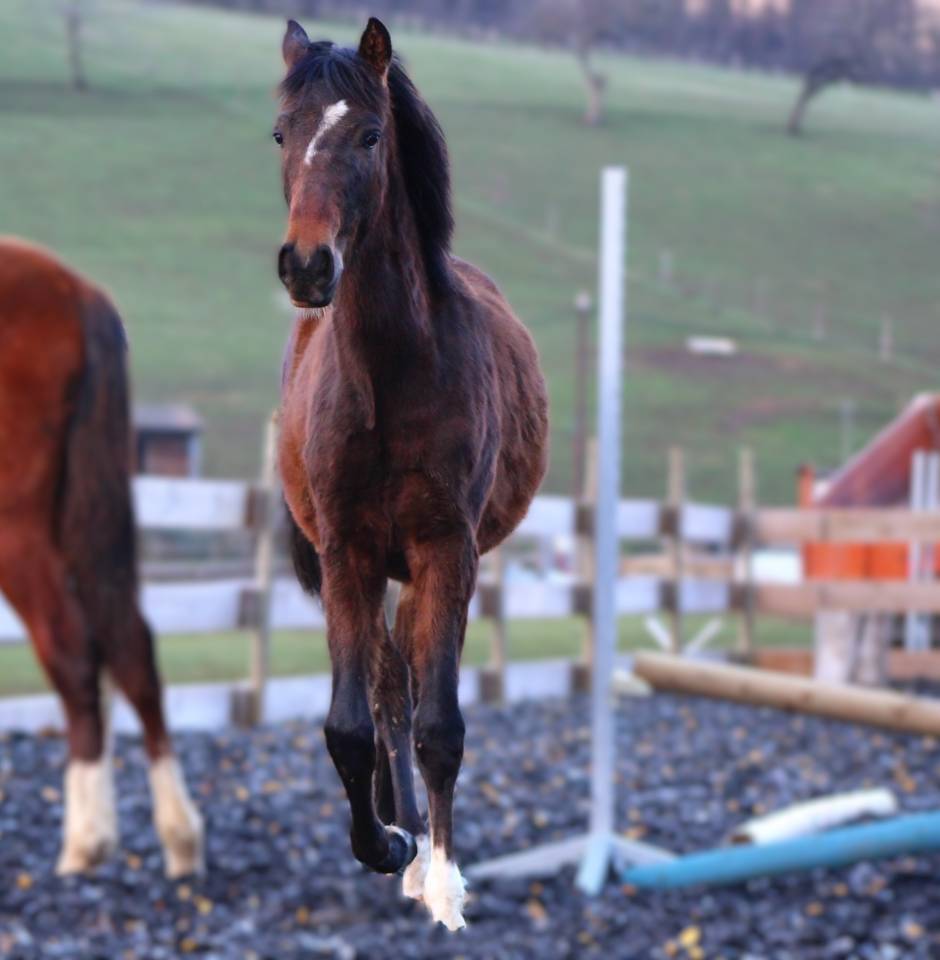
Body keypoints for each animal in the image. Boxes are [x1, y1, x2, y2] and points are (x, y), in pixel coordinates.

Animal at [275, 18, 549, 929]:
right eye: (282, 134)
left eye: (369, 135)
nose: (306, 266)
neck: (392, 371)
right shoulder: (347, 551)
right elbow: (352, 726)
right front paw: (387, 844)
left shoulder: (445, 547)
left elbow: (441, 727)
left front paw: (443, 880)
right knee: (386, 683)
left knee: (411, 685)